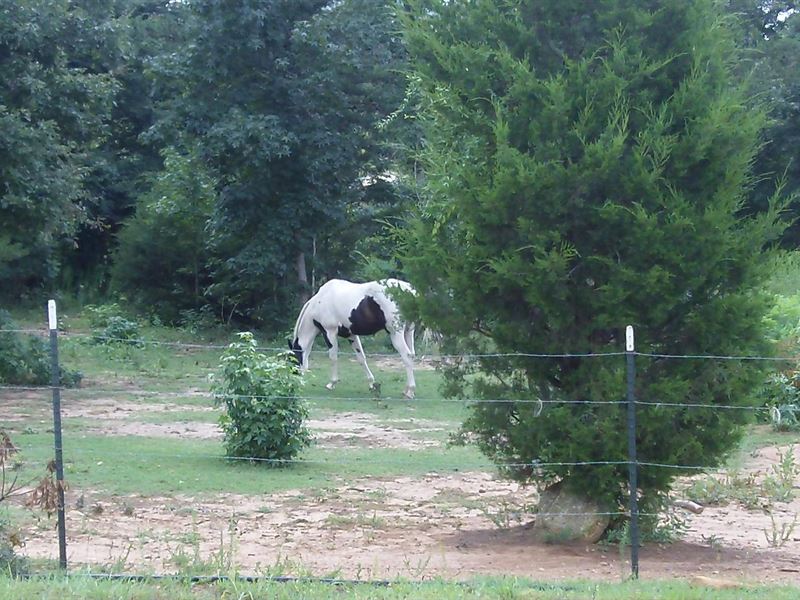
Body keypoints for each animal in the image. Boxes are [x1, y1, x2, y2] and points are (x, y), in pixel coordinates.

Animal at [290, 280, 418, 400]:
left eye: (293, 358)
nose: (294, 380)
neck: (319, 302)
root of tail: (407, 290)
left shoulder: (329, 332)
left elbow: (333, 357)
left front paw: (332, 383)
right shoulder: (351, 335)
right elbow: (361, 358)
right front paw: (371, 383)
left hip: (395, 333)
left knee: (406, 356)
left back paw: (410, 391)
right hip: (408, 331)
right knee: (411, 355)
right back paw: (406, 390)